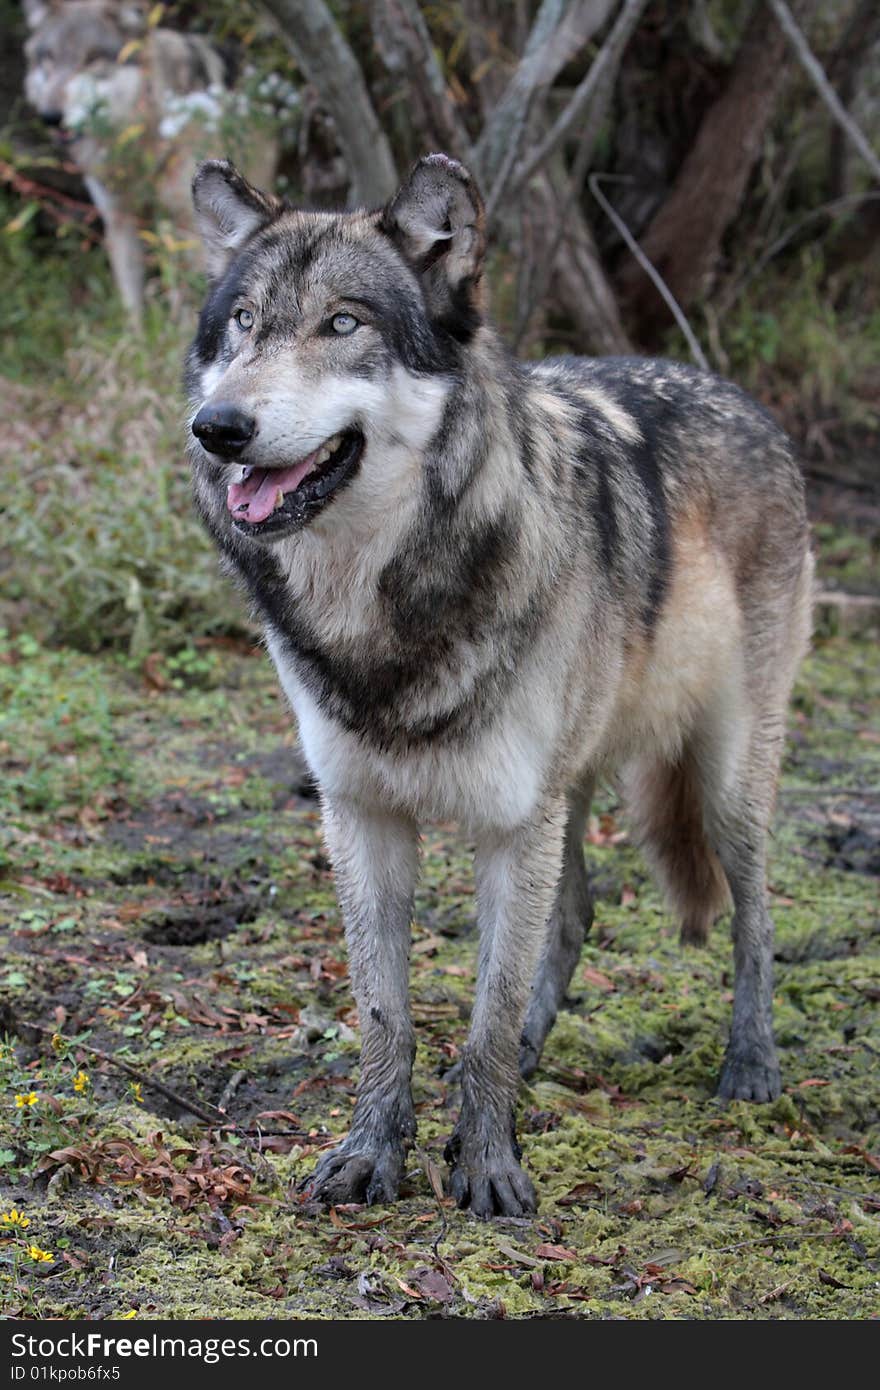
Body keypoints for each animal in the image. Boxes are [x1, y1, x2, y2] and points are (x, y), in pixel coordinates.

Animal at [23, 0, 278, 322]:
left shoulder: (185, 226)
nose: (50, 116)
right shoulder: (119, 218)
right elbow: (131, 302)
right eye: (49, 59)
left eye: (92, 59)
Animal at [183, 149, 811, 1217]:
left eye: (342, 324)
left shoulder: (516, 823)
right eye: (245, 323)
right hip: (575, 787)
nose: (216, 427)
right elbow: (386, 1015)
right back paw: (535, 1052)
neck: (391, 607)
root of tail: (743, 397)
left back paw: (752, 1065)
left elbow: (483, 1012)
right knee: (579, 912)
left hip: (720, 781)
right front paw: (372, 1155)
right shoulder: (361, 816)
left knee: (752, 908)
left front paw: (485, 1168)